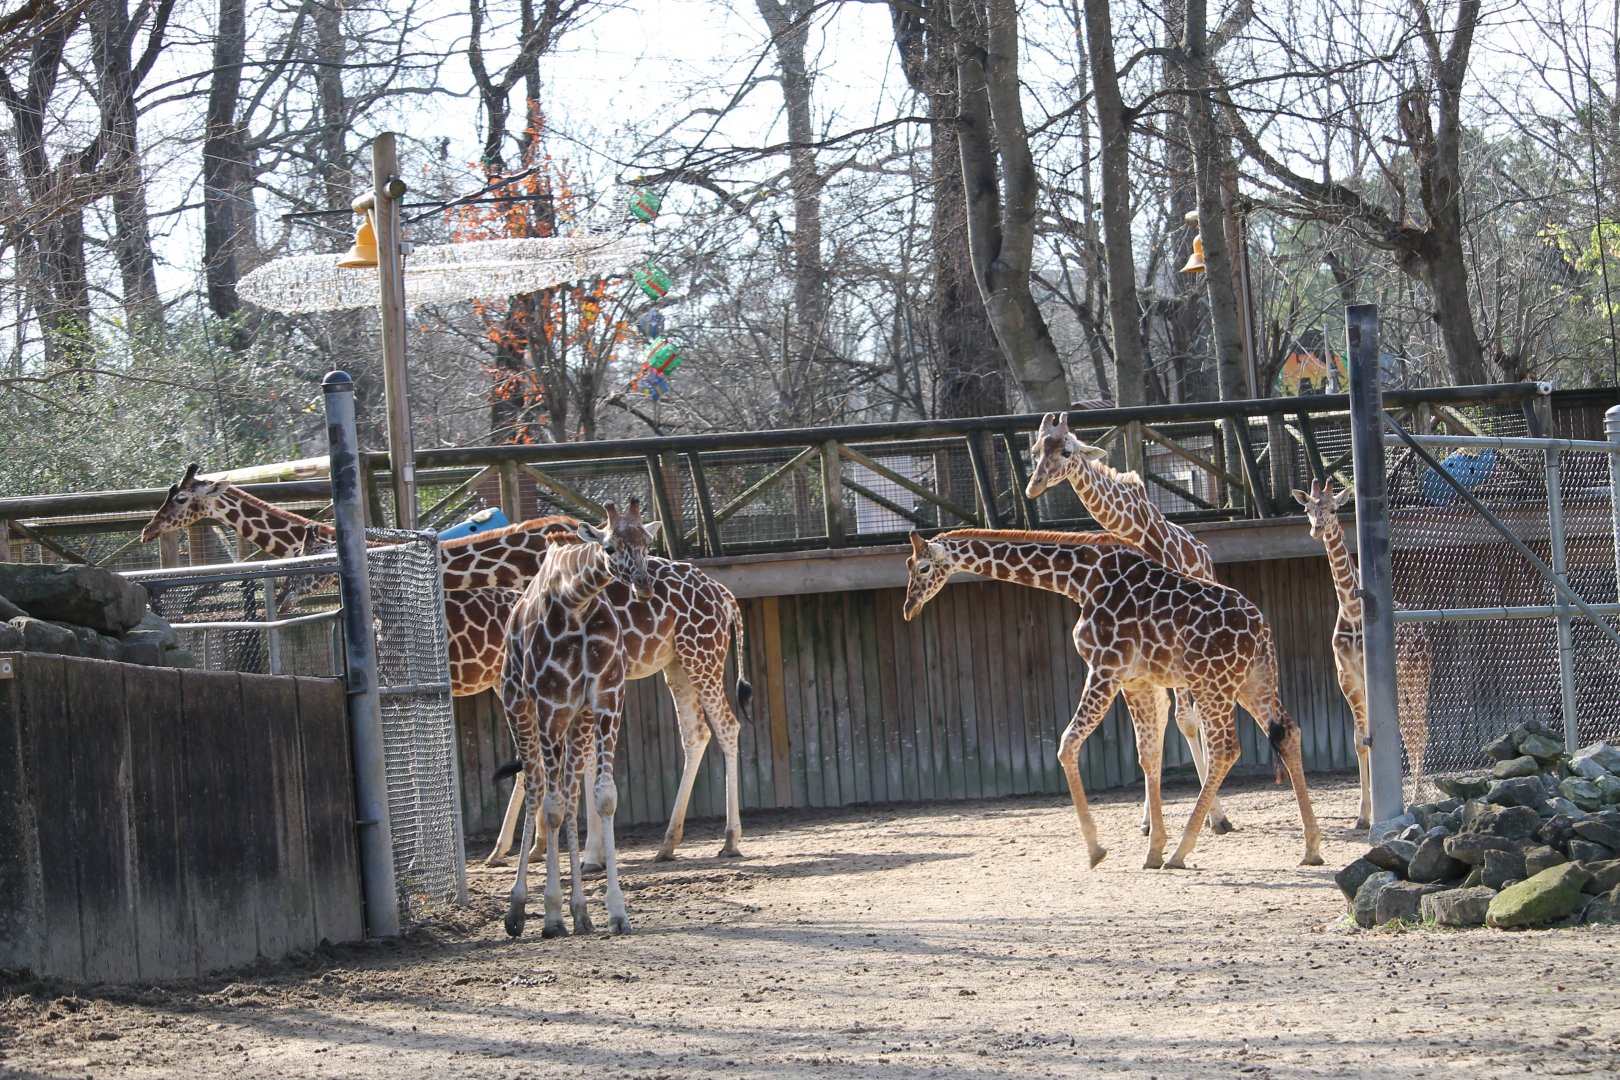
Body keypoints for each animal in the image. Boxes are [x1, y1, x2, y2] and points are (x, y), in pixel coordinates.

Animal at [140, 465, 753, 864]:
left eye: (179, 498)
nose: (146, 528)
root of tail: (726, 594)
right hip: (673, 663)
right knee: (693, 732)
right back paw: (660, 843)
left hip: (689, 656)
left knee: (722, 726)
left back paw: (719, 840)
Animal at [500, 505, 656, 938]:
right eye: (610, 547)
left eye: (647, 542)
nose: (643, 584)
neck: (576, 601)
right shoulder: (550, 705)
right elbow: (550, 808)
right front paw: (552, 916)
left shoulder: (605, 701)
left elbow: (603, 797)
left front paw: (616, 912)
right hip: (519, 708)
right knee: (538, 790)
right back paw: (519, 910)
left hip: (577, 720)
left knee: (569, 795)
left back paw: (582, 912)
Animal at [903, 528, 1323, 870]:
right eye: (908, 566)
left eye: (922, 568)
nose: (909, 608)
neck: (1080, 580)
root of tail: (1263, 629)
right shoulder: (1134, 679)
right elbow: (1147, 754)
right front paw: (1152, 850)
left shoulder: (1105, 667)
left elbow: (1067, 744)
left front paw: (1096, 850)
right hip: (1253, 681)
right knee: (1288, 733)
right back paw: (1311, 848)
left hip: (1212, 683)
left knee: (1226, 748)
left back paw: (1182, 851)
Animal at [1026, 412, 1233, 835]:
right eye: (1036, 450)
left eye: (1067, 450)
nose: (1032, 487)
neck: (1137, 529)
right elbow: (1156, 722)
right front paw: (1155, 820)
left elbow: (1187, 720)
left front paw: (1216, 816)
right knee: (1163, 713)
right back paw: (1149, 820)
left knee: (1192, 714)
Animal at [1292, 480, 1432, 825]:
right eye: (1308, 508)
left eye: (1332, 509)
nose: (1316, 529)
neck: (1353, 610)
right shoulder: (1348, 677)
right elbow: (1361, 740)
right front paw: (1362, 814)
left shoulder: (1375, 676)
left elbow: (1393, 733)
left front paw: (1381, 809)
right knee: (1410, 728)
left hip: (1416, 678)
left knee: (1418, 727)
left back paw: (1416, 797)